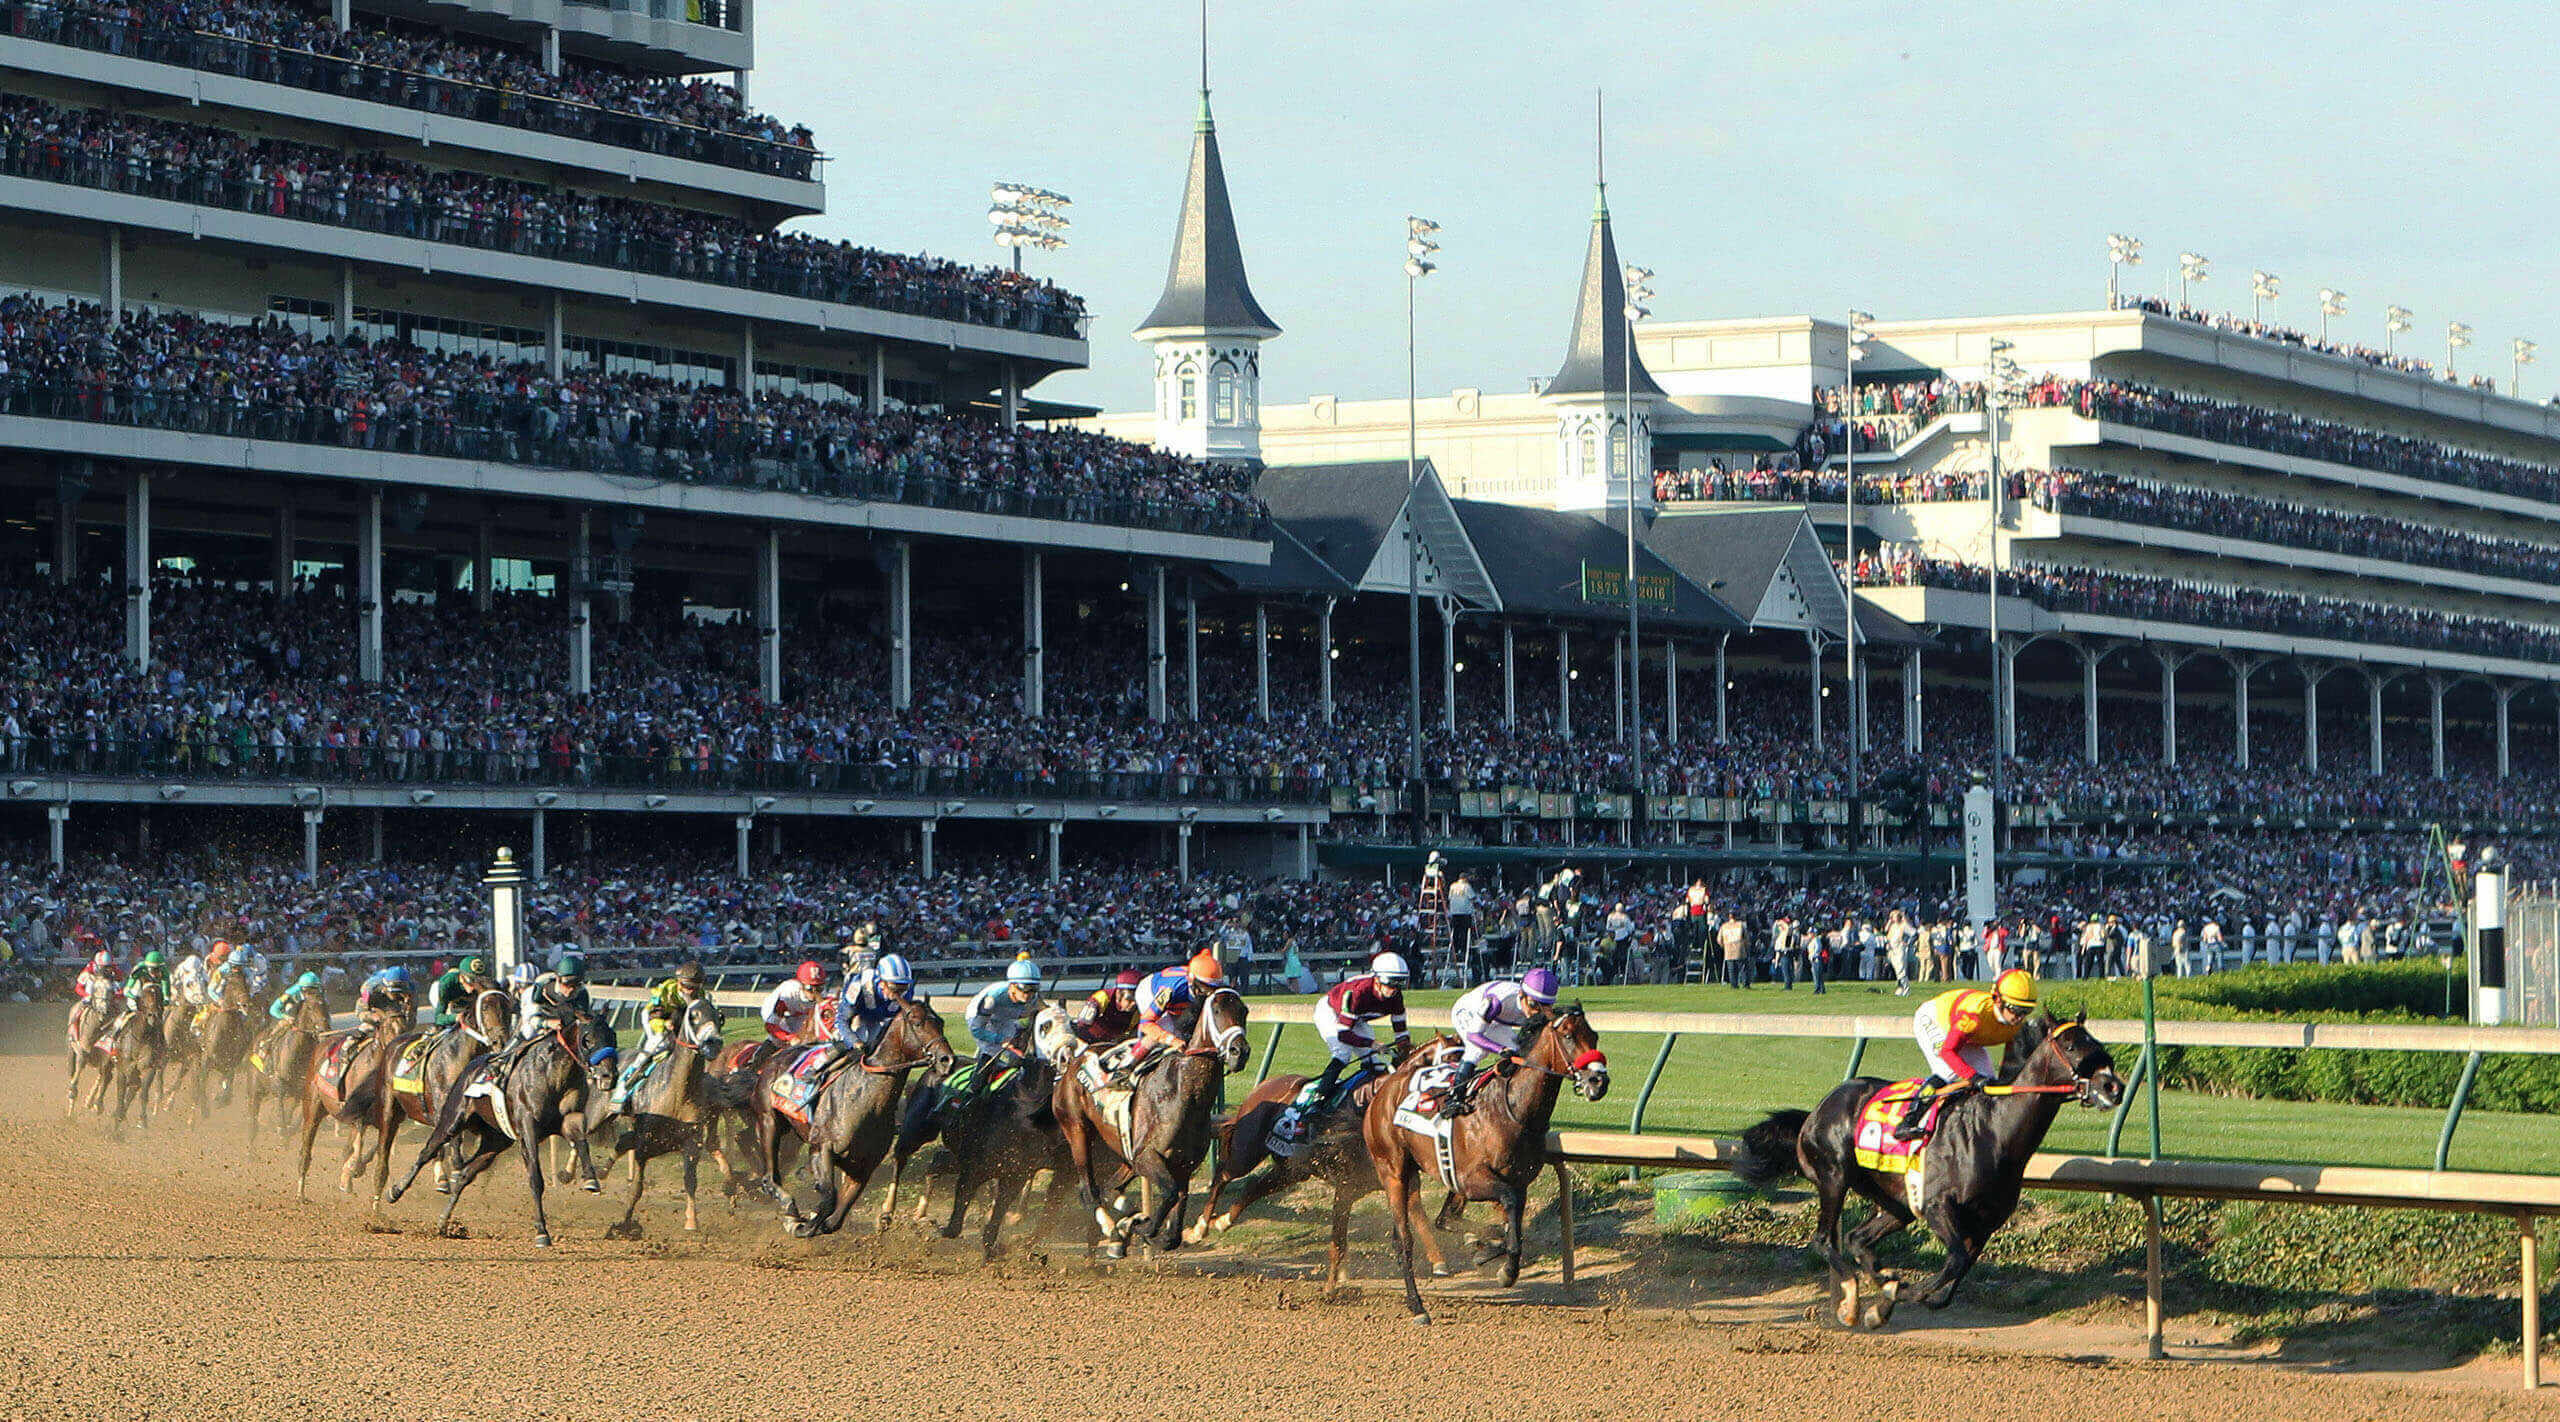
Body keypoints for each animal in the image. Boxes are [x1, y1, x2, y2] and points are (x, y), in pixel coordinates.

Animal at [381, 1014, 616, 1245]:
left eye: (612, 1036)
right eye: (587, 1039)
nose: (608, 1075)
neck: (552, 1075)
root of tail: (470, 1067)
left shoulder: (570, 1119)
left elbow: (582, 1142)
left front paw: (590, 1179)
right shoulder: (528, 1129)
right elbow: (535, 1179)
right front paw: (541, 1232)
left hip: (495, 1142)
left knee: (465, 1174)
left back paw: (443, 1221)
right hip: (451, 1120)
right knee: (427, 1152)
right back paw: (395, 1191)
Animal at [747, 994, 957, 1240]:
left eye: (941, 1022)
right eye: (917, 1022)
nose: (947, 1060)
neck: (863, 1098)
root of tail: (774, 1057)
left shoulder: (863, 1165)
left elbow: (835, 1219)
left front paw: (814, 1219)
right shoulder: (822, 1147)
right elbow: (829, 1197)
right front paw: (802, 1225)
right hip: (768, 1120)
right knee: (770, 1178)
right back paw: (790, 1208)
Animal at [1039, 988, 1239, 1255]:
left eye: (1244, 1011)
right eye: (1216, 1010)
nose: (1240, 1051)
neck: (1183, 1093)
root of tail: (1074, 1058)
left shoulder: (1182, 1166)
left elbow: (1173, 1233)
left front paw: (1135, 1224)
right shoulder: (1148, 1157)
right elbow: (1169, 1194)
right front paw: (1138, 1226)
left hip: (1121, 1151)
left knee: (1111, 1187)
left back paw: (1123, 1221)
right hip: (1076, 1130)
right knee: (1088, 1191)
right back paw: (1112, 1228)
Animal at [1361, 999, 1597, 1322]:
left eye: (1594, 1037)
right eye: (1569, 1036)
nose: (1599, 1080)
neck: (1511, 1107)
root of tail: (1384, 1088)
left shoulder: (1518, 1181)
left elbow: (1513, 1226)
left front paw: (1489, 1251)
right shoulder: (1472, 1180)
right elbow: (1507, 1210)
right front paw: (1503, 1267)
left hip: (1419, 1171)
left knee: (1442, 1218)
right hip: (1392, 1171)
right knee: (1403, 1240)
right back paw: (1417, 1305)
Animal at [1730, 1014, 2129, 1322]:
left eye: (2097, 1042)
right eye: (2073, 1046)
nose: (2114, 1086)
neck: (1995, 1132)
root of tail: (1816, 1111)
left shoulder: (1985, 1223)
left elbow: (1954, 1278)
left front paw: (1892, 1295)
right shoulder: (1937, 1206)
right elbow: (1953, 1261)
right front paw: (1895, 1297)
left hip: (1897, 1202)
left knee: (1857, 1238)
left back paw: (1878, 1283)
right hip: (1834, 1176)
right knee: (1825, 1239)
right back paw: (1851, 1302)